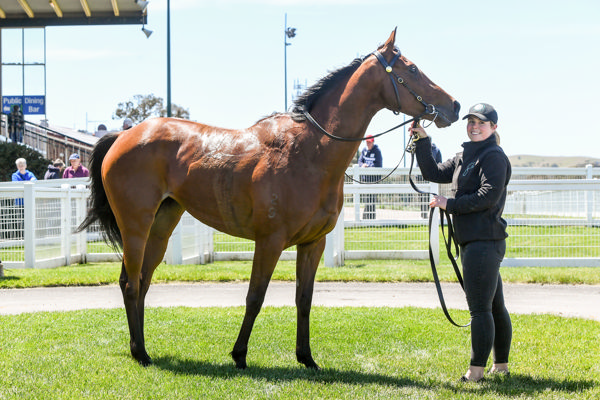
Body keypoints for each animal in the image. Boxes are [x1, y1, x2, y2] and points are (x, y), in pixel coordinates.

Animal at [76, 29, 460, 370]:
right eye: (413, 69)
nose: (453, 106)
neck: (309, 151)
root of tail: (125, 135)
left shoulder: (313, 243)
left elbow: (304, 299)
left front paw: (306, 358)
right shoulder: (270, 241)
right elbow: (255, 297)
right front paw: (239, 355)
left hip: (161, 225)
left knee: (141, 282)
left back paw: (139, 348)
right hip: (136, 225)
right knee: (131, 283)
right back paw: (141, 353)